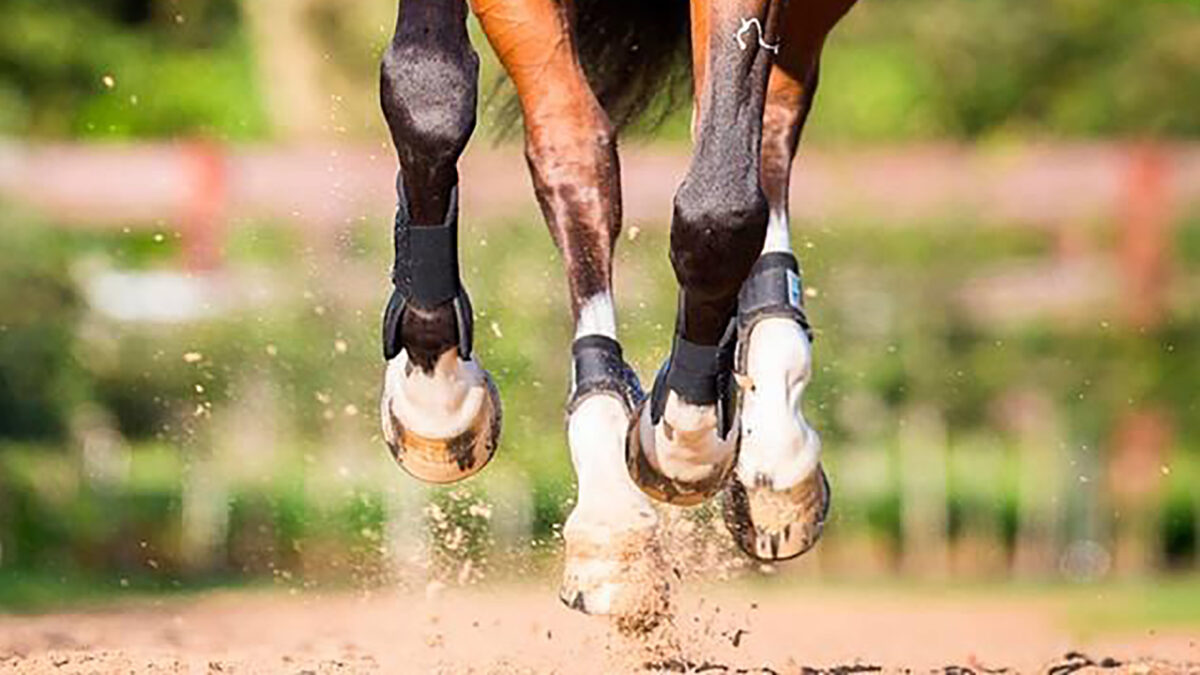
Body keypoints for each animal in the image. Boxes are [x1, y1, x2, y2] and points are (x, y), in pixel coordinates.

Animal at [378, 0, 857, 619]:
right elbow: (429, 89)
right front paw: (434, 393)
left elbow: (719, 209)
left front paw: (687, 430)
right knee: (573, 149)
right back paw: (609, 502)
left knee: (763, 117)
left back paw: (770, 439)